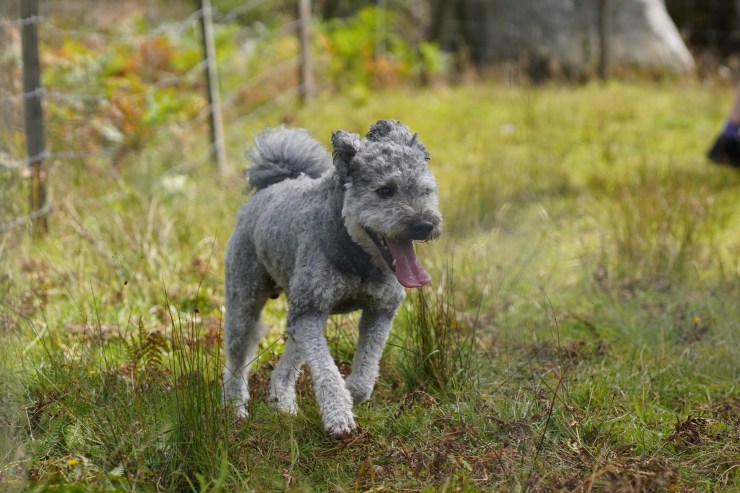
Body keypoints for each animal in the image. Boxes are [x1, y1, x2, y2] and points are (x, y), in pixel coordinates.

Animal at [223, 120, 442, 436]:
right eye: (385, 190)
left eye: (426, 190)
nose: (425, 225)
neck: (356, 257)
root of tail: (272, 187)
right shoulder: (309, 313)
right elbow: (326, 370)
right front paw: (338, 416)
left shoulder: (380, 311)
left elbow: (364, 376)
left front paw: (351, 393)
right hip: (246, 302)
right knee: (237, 360)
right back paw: (235, 410)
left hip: (298, 315)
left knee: (284, 368)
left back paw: (283, 404)